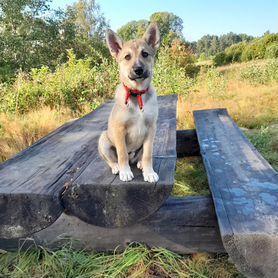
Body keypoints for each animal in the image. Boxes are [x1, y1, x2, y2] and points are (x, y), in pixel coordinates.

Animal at [97, 23, 160, 182]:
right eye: (127, 57)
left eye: (145, 54)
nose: (138, 70)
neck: (136, 93)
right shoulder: (120, 130)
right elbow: (122, 154)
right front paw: (125, 172)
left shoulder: (151, 128)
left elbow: (148, 155)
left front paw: (149, 172)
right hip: (103, 139)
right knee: (112, 159)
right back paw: (116, 167)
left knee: (140, 156)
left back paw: (140, 163)